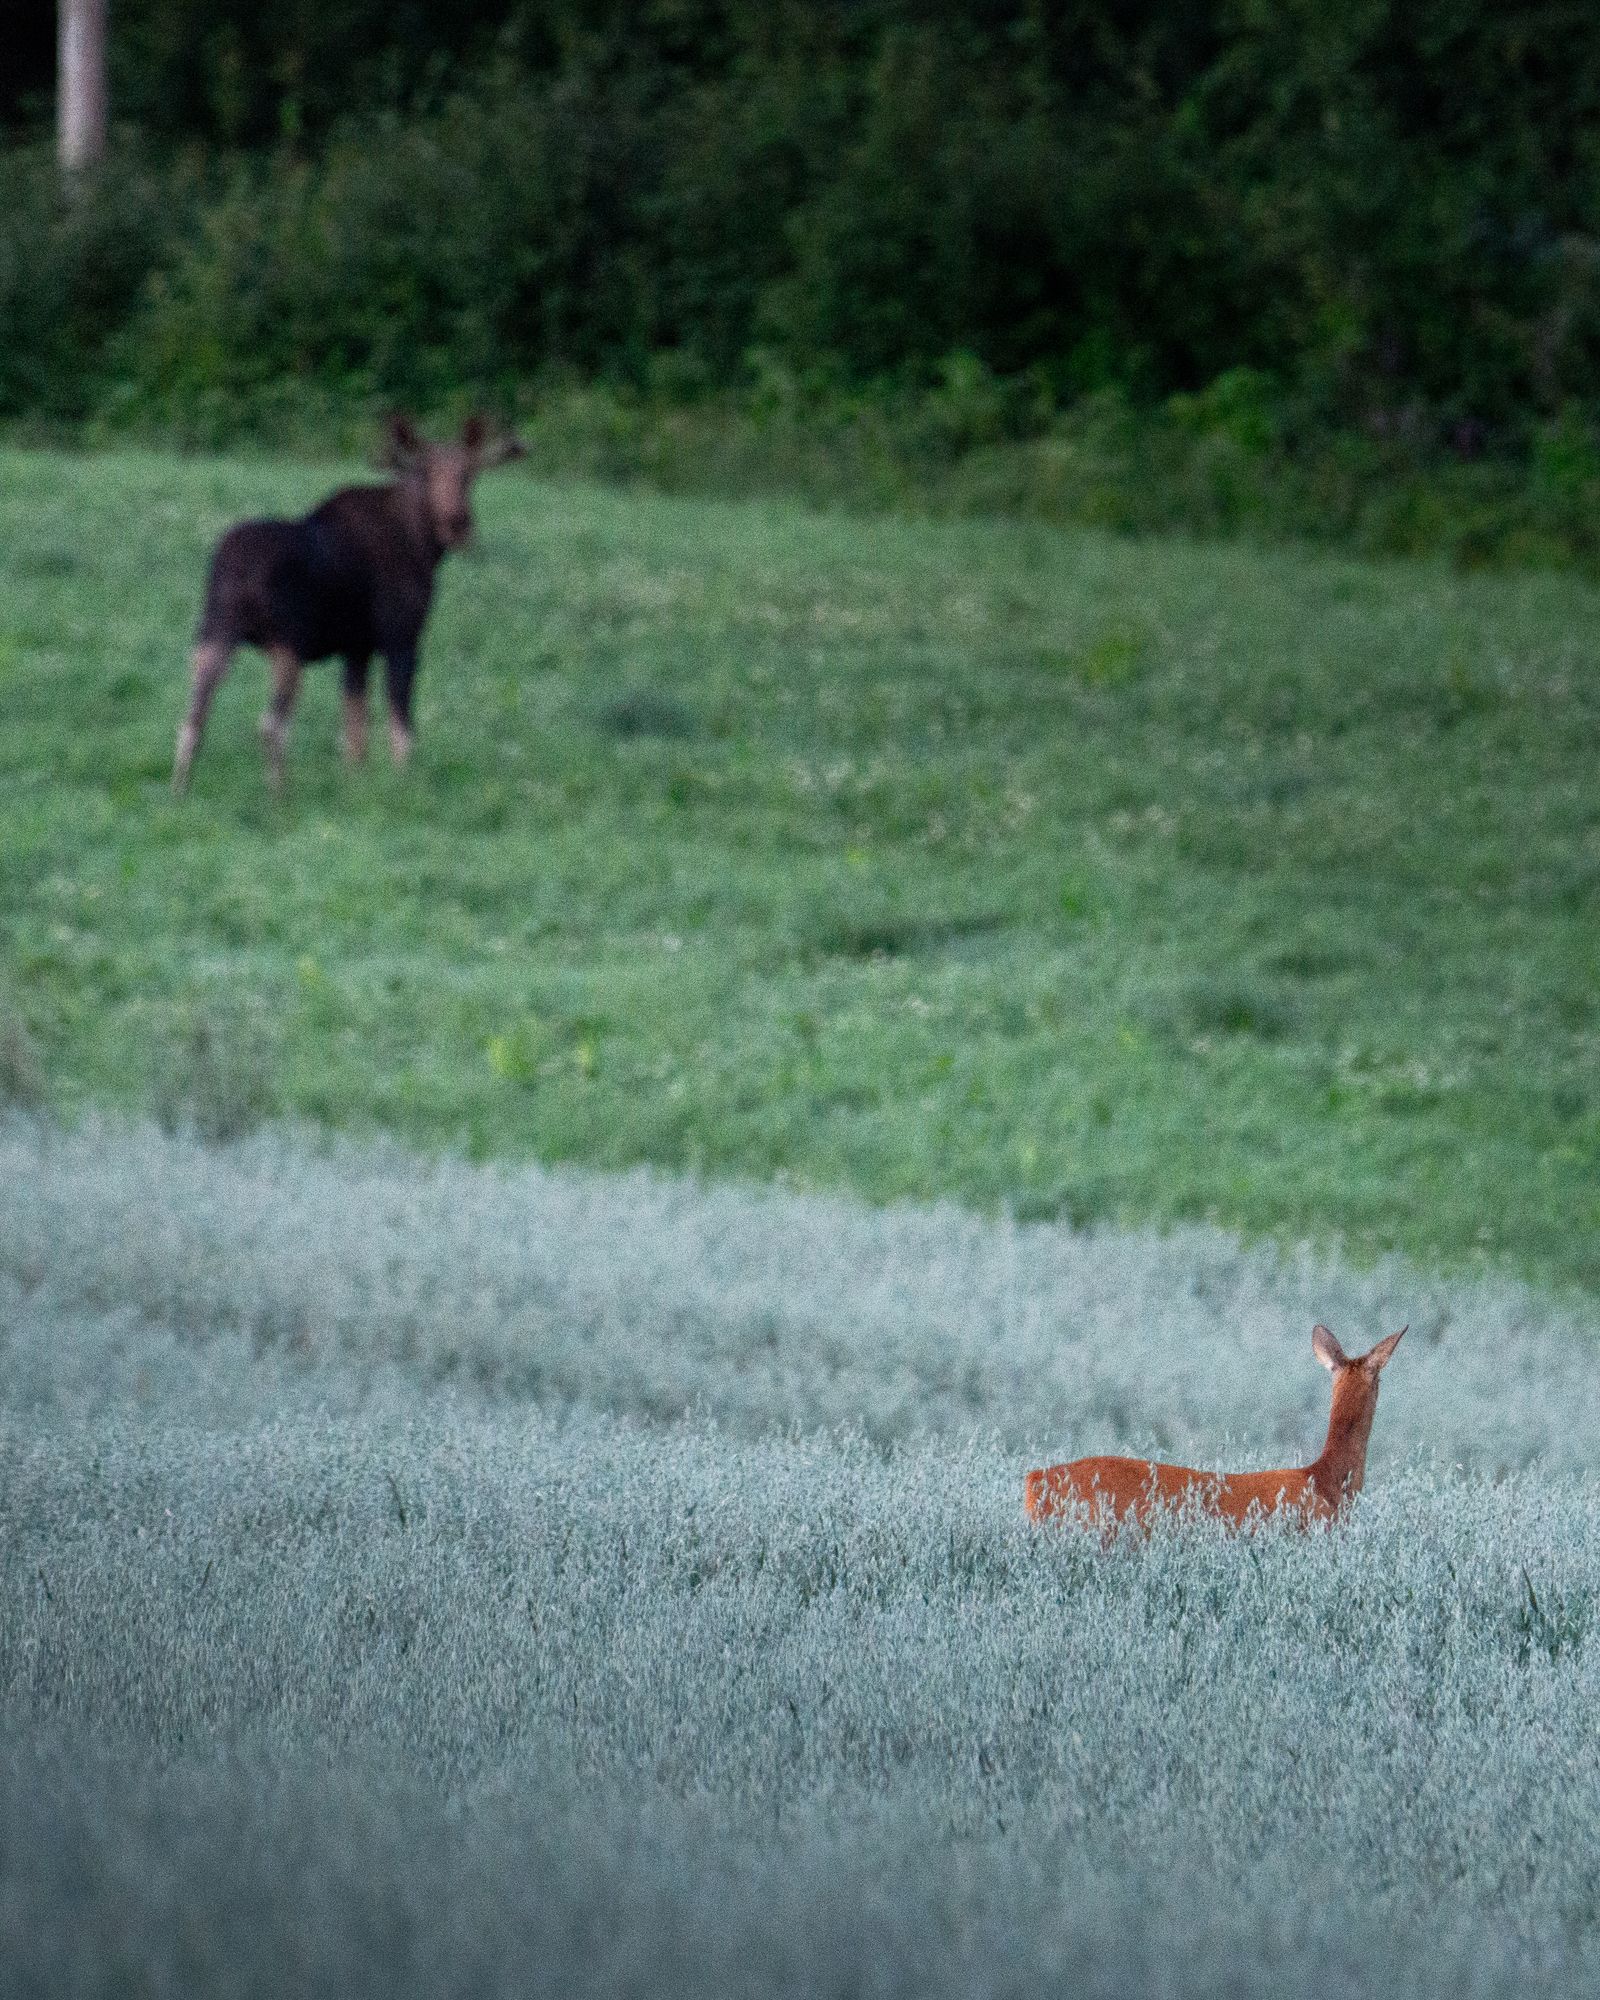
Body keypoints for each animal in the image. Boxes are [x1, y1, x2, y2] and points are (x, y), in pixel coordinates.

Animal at [172, 414, 525, 796]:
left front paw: (355, 784)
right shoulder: (401, 636)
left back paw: (180, 792)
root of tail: (236, 571)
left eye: (468, 474)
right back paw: (280, 797)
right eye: (427, 472)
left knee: (191, 719)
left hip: (213, 633)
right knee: (271, 724)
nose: (457, 522)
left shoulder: (357, 647)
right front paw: (404, 785)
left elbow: (355, 730)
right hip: (288, 642)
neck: (425, 546)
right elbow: (401, 726)